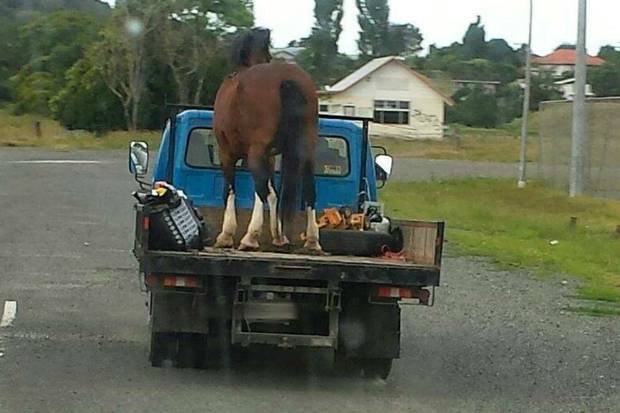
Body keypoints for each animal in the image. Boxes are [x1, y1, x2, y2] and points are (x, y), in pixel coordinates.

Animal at [212, 29, 320, 251]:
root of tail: (286, 78)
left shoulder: (226, 153)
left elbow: (230, 190)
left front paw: (226, 235)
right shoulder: (269, 157)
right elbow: (273, 193)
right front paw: (278, 235)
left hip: (254, 153)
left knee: (262, 188)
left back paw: (250, 238)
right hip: (306, 150)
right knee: (308, 190)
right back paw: (312, 241)